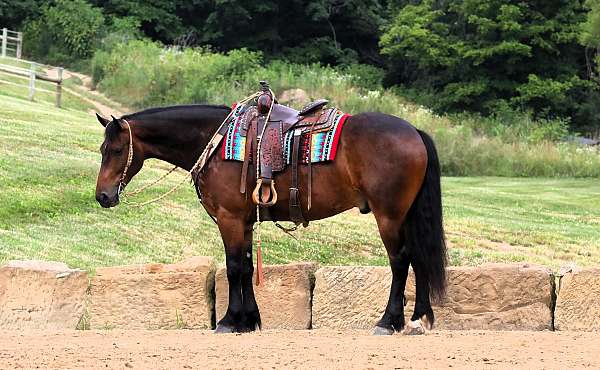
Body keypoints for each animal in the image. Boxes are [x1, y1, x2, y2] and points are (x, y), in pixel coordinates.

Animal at [95, 103, 446, 336]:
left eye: (115, 150)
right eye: (102, 149)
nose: (103, 196)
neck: (217, 143)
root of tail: (414, 132)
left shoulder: (230, 219)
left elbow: (234, 268)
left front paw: (228, 321)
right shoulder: (245, 222)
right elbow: (247, 267)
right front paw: (249, 320)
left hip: (389, 216)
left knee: (400, 261)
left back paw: (389, 321)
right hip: (406, 216)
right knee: (419, 258)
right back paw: (420, 318)